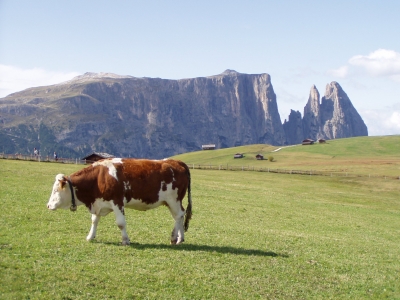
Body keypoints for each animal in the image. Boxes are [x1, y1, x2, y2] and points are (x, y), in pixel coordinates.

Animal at [46, 158, 193, 245]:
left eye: (56, 190)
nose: (48, 205)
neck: (98, 178)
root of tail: (176, 161)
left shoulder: (117, 202)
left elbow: (121, 223)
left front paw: (125, 240)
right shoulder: (98, 203)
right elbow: (94, 221)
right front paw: (90, 236)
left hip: (173, 200)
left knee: (179, 216)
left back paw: (174, 237)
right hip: (172, 202)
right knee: (180, 215)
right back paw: (180, 238)